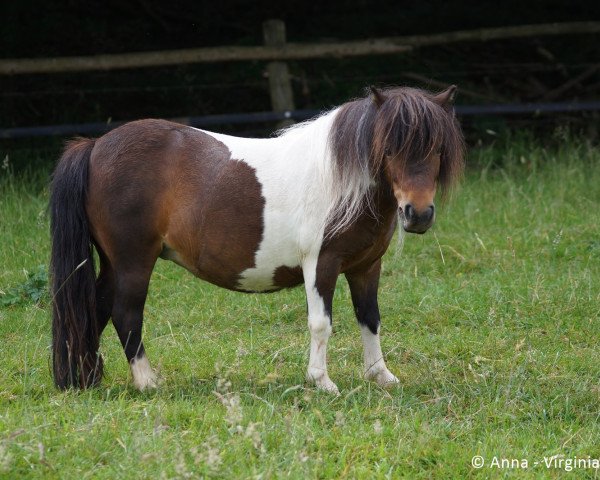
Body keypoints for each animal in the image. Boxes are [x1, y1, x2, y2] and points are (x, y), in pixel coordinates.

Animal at [50, 86, 464, 394]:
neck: (340, 179)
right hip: (133, 261)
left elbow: (370, 318)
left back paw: (85, 378)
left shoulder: (365, 267)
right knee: (125, 313)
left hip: (112, 263)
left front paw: (381, 375)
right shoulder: (321, 263)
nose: (418, 214)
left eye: (437, 149)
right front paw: (322, 382)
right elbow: (321, 323)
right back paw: (147, 382)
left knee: (95, 309)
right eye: (390, 147)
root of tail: (95, 146)